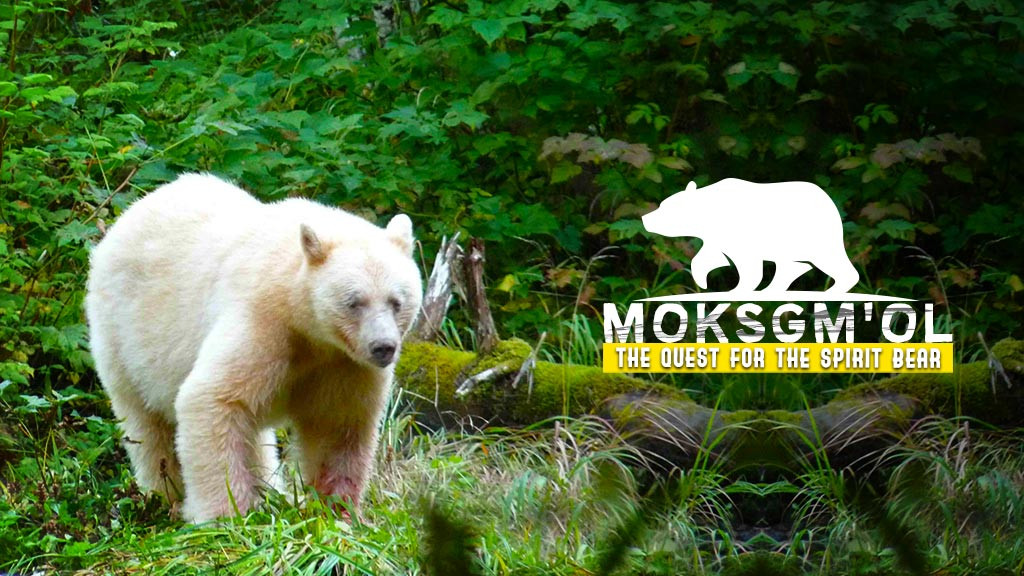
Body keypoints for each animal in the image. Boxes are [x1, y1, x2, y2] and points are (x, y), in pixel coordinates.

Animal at [85, 173, 423, 523]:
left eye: (397, 301)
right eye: (354, 302)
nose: (383, 347)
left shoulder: (344, 362)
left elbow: (339, 422)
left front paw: (337, 511)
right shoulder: (263, 322)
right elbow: (212, 399)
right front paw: (225, 516)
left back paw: (272, 490)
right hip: (123, 334)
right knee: (148, 425)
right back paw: (166, 496)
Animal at [641, 179, 859, 294]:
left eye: (663, 207)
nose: (645, 218)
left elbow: (747, 262)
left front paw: (738, 288)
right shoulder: (716, 235)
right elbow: (706, 256)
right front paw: (702, 281)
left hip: (811, 232)